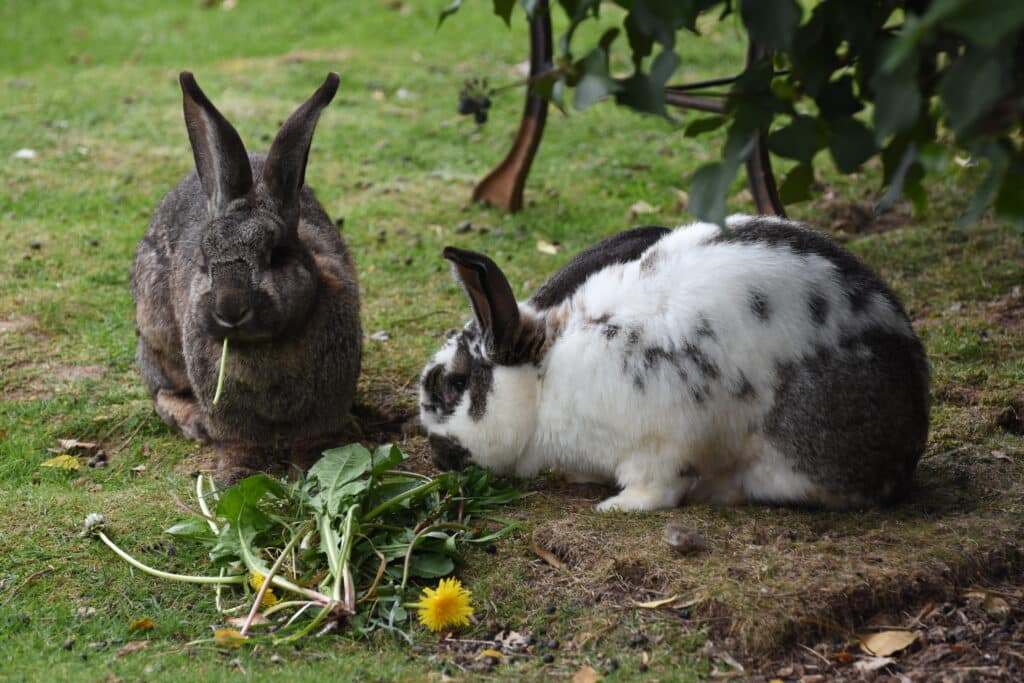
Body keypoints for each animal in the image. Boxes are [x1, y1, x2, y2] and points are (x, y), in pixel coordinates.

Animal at [131, 71, 361, 485]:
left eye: (276, 254)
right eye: (203, 258)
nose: (230, 309)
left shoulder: (328, 401)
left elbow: (315, 437)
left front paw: (316, 469)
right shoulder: (228, 412)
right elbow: (241, 442)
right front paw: (237, 477)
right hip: (158, 334)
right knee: (161, 391)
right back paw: (193, 422)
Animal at [419, 215, 929, 511]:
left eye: (454, 385)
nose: (437, 455)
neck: (546, 381)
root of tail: (909, 446)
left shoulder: (659, 444)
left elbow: (656, 489)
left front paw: (616, 506)